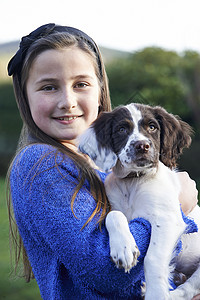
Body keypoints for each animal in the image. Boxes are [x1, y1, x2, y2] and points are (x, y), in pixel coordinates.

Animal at [78, 103, 200, 300]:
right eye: (121, 129)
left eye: (152, 127)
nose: (142, 146)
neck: (132, 181)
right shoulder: (114, 206)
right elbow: (113, 215)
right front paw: (124, 248)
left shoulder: (168, 219)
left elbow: (153, 258)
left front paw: (156, 293)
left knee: (188, 289)